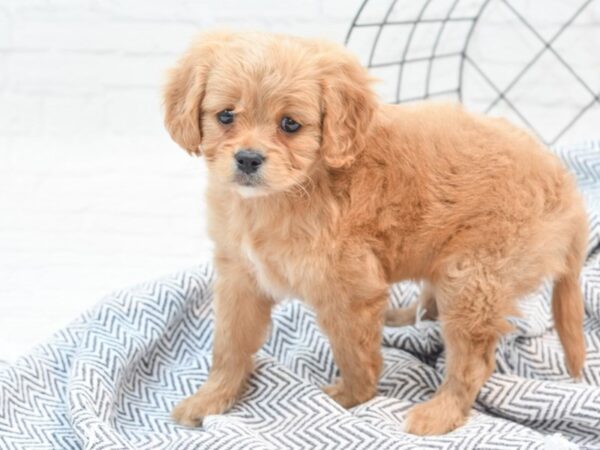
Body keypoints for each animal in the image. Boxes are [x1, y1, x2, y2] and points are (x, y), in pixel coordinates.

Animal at [163, 31, 584, 436]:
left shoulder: (350, 290)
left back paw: (440, 413)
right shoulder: (239, 278)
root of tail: (565, 185)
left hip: (473, 278)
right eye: (226, 116)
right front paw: (210, 399)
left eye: (290, 125)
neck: (281, 197)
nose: (248, 159)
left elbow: (354, 355)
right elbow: (228, 346)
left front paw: (349, 398)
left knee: (473, 362)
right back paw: (407, 318)